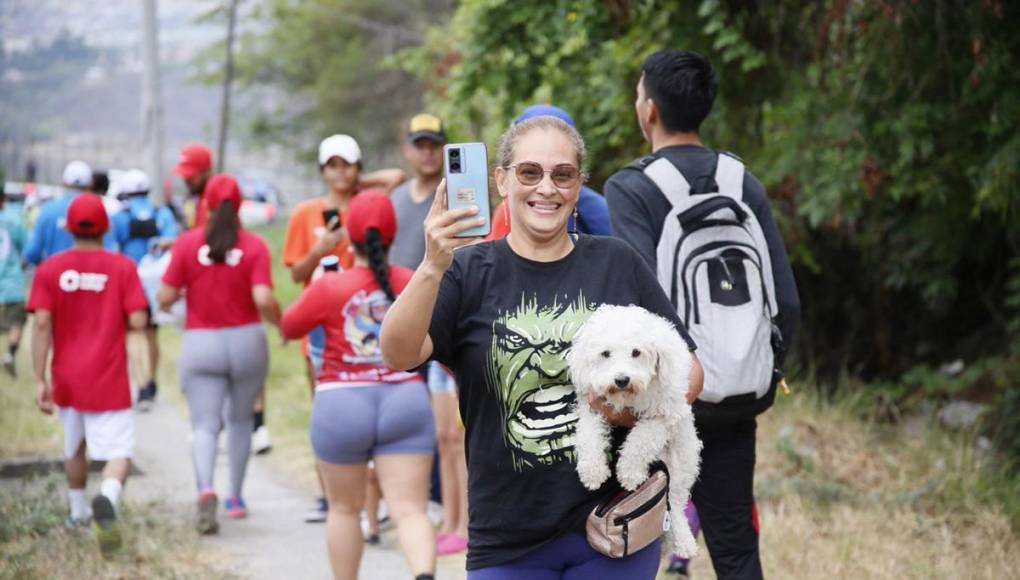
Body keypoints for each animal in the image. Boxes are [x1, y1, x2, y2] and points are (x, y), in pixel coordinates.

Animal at [567, 303, 701, 554]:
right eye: (605, 353)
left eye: (636, 352)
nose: (621, 379)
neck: (628, 398)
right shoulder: (592, 407)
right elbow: (589, 437)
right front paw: (592, 471)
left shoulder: (664, 415)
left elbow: (641, 439)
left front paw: (629, 473)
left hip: (683, 461)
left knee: (676, 504)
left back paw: (684, 541)